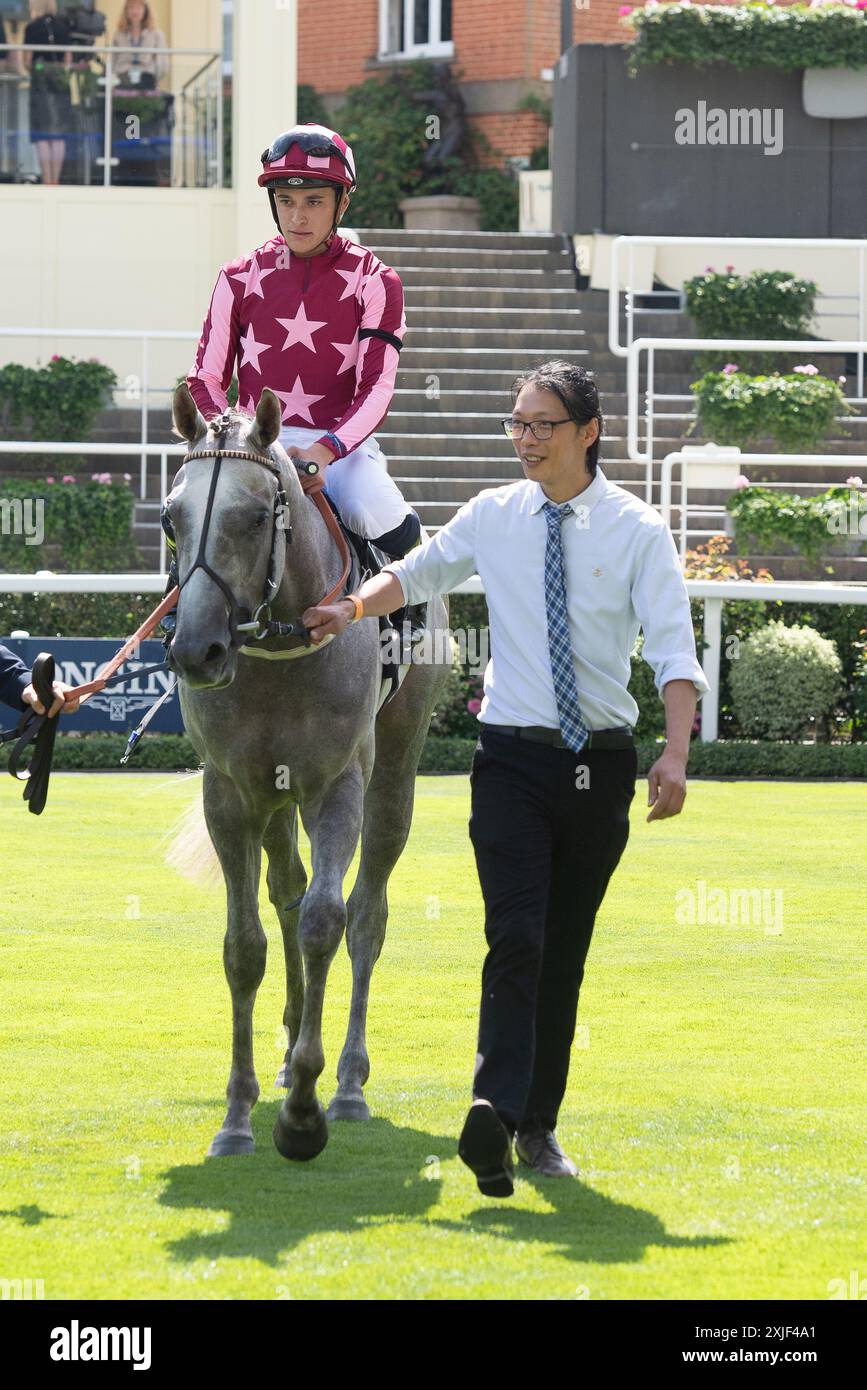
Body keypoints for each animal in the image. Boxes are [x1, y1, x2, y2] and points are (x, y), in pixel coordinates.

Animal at [162, 380, 450, 1162]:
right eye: (170, 519)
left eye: (256, 515)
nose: (195, 649)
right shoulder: (233, 793)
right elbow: (245, 945)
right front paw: (239, 1113)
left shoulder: (336, 787)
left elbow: (328, 920)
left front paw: (303, 1112)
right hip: (274, 796)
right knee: (285, 891)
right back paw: (293, 1043)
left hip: (395, 774)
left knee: (367, 914)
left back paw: (346, 1079)